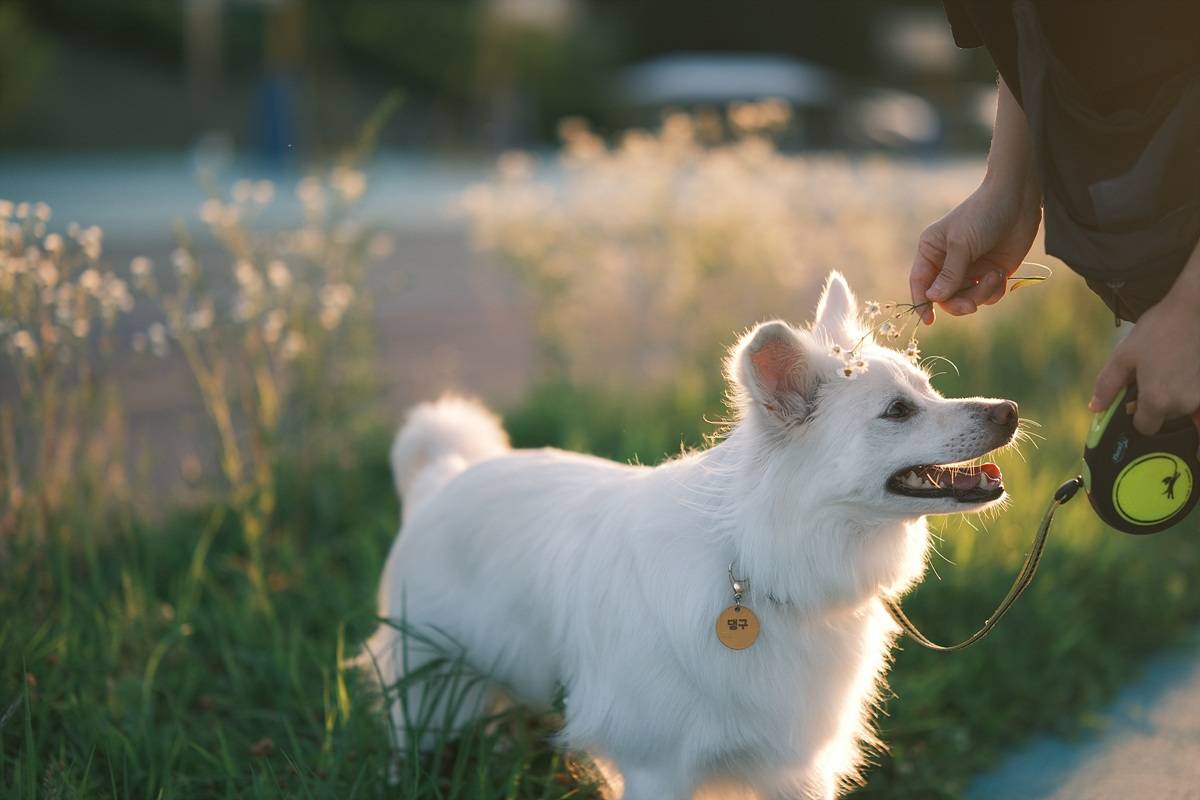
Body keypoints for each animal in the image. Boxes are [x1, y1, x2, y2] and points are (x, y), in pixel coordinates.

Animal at [360, 272, 1017, 796]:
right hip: (428, 696)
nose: (1008, 410)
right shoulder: (659, 769)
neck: (755, 561)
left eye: (928, 388)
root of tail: (441, 480)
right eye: (898, 411)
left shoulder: (793, 769)